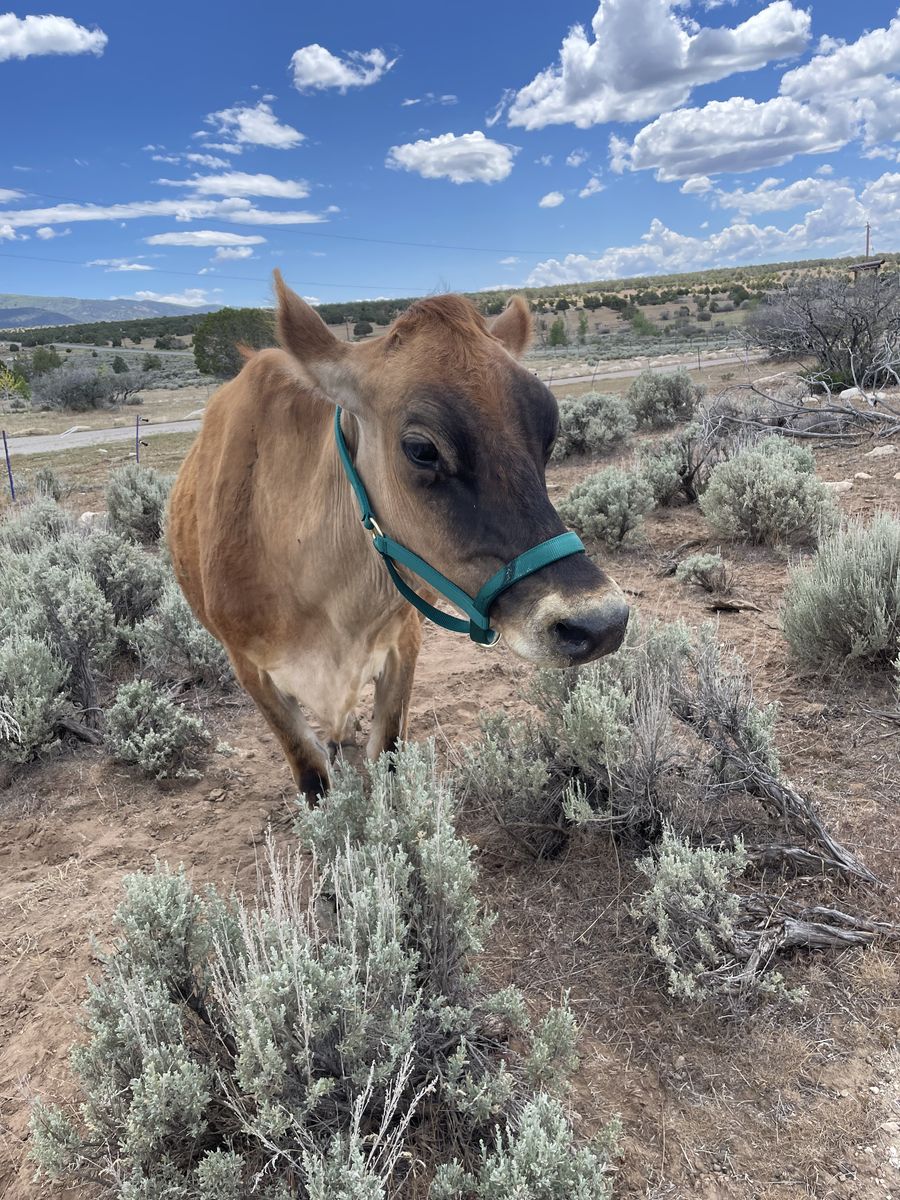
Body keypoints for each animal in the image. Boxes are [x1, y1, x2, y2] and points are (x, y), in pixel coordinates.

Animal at [167, 272, 629, 802]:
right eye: (421, 449)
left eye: (549, 432)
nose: (600, 622)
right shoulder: (249, 668)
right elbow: (311, 774)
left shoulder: (404, 639)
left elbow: (387, 754)